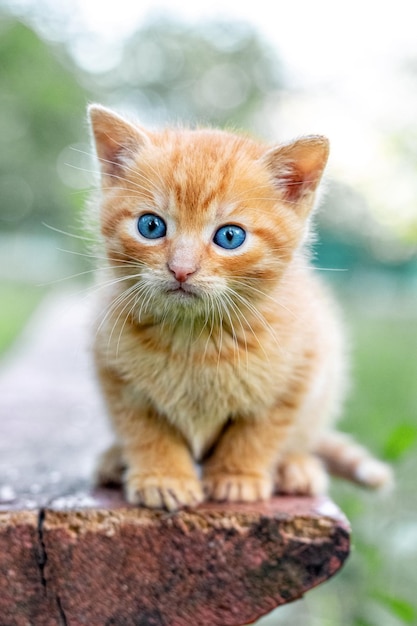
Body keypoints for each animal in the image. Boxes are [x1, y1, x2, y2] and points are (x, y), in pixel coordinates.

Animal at [86, 105, 392, 510]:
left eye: (230, 236)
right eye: (150, 226)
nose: (181, 268)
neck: (195, 338)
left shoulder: (300, 369)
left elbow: (260, 431)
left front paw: (238, 477)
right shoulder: (115, 372)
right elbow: (144, 429)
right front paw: (163, 476)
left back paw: (296, 467)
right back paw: (113, 459)